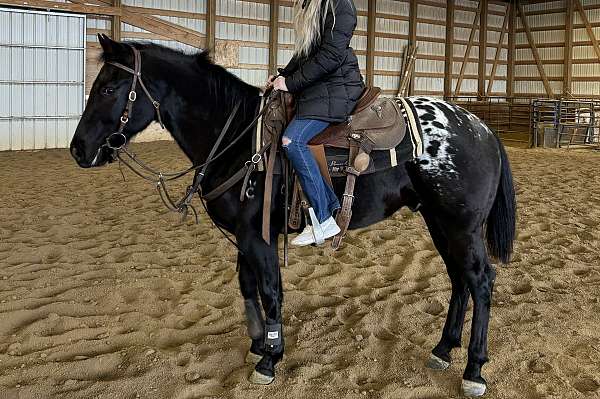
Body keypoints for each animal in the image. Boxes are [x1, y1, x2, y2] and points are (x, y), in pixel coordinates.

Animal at [69, 36, 516, 396]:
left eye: (108, 87)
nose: (78, 149)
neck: (238, 138)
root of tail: (481, 128)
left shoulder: (259, 237)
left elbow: (271, 290)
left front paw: (270, 358)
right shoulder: (242, 237)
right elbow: (247, 287)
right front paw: (257, 346)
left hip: (462, 226)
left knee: (480, 280)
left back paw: (474, 370)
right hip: (439, 222)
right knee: (459, 279)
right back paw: (442, 350)